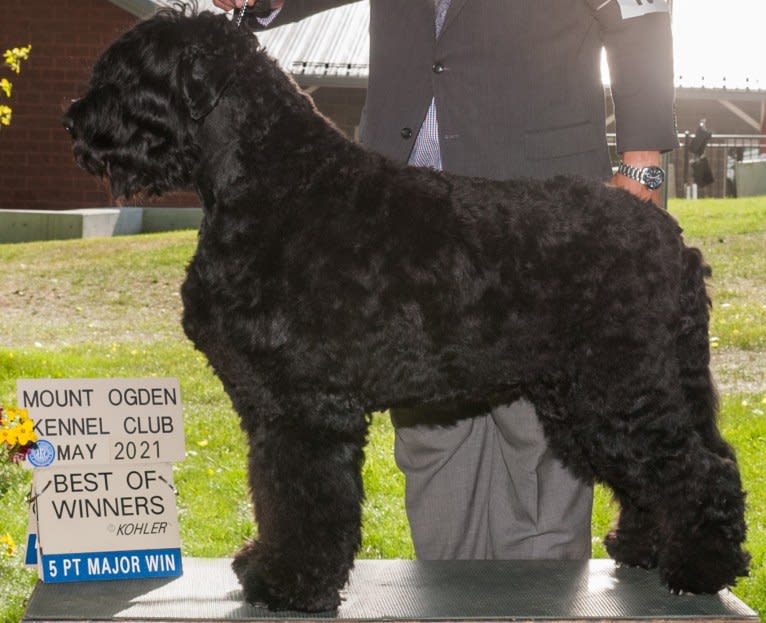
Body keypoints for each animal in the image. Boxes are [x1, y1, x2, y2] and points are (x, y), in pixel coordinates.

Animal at [66, 9, 752, 616]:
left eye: (127, 74)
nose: (74, 121)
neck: (276, 182)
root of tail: (675, 241)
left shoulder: (306, 405)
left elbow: (308, 498)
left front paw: (292, 585)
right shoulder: (266, 403)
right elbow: (274, 491)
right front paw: (265, 563)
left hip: (620, 391)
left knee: (698, 467)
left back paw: (702, 566)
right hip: (590, 401)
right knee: (664, 472)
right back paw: (642, 546)